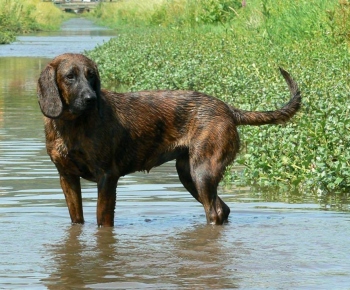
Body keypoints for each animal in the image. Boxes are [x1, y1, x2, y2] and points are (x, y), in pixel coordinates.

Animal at [37, 53, 300, 228]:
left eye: (92, 77)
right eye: (70, 76)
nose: (91, 99)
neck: (70, 125)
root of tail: (228, 109)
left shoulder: (107, 177)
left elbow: (103, 221)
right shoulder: (67, 177)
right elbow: (77, 220)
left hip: (203, 172)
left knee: (214, 212)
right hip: (188, 174)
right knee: (222, 209)